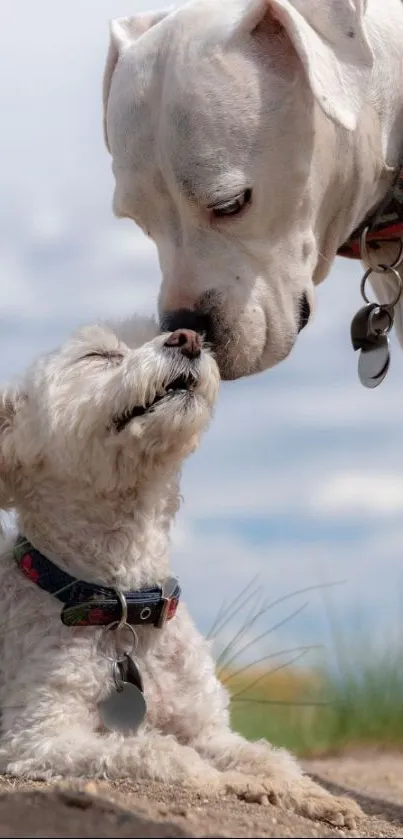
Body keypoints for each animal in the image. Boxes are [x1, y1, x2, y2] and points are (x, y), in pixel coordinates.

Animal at [0, 316, 360, 828]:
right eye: (98, 357)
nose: (188, 337)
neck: (122, 602)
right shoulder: (38, 737)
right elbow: (160, 752)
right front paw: (235, 784)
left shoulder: (208, 729)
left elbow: (267, 756)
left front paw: (314, 794)